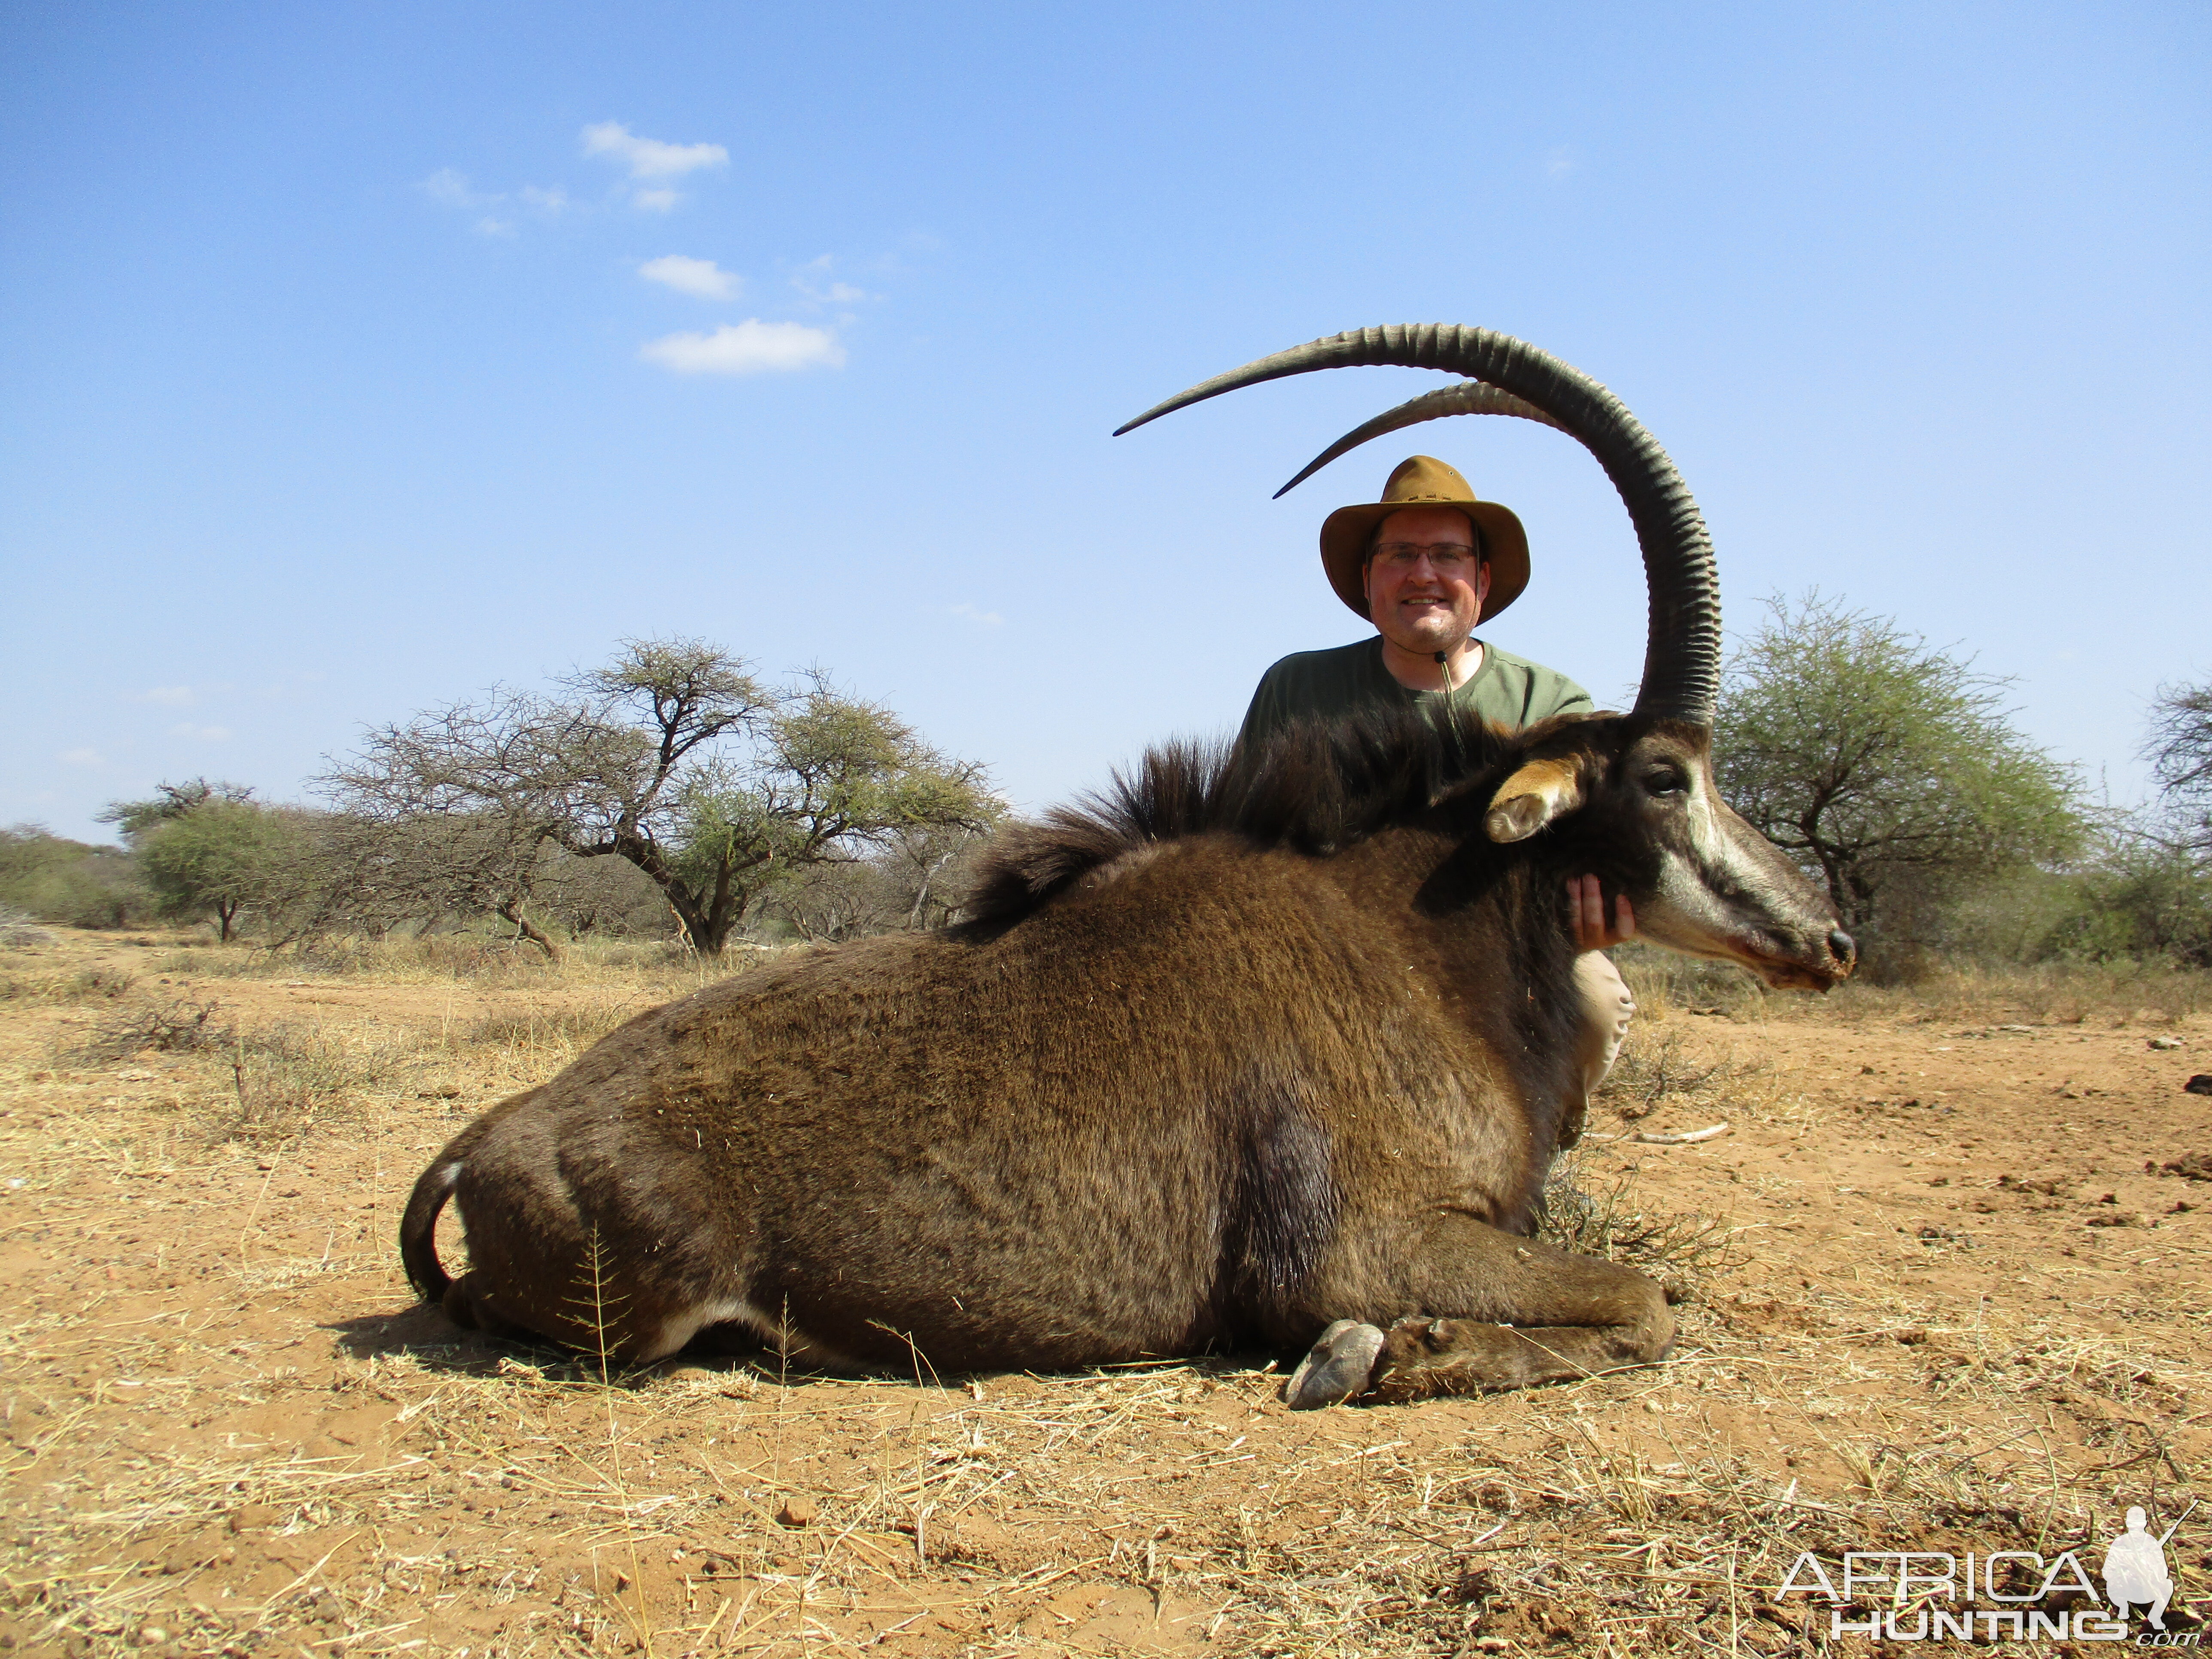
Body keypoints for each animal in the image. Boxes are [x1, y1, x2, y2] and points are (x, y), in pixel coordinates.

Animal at [398, 327, 1849, 1416]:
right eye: (1664, 778)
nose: (1828, 940)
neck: (1415, 938)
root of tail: (496, 1132)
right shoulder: (1363, 1246)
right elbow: (1647, 1303)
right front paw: (1392, 1353)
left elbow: (1645, 1295)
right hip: (648, 1315)